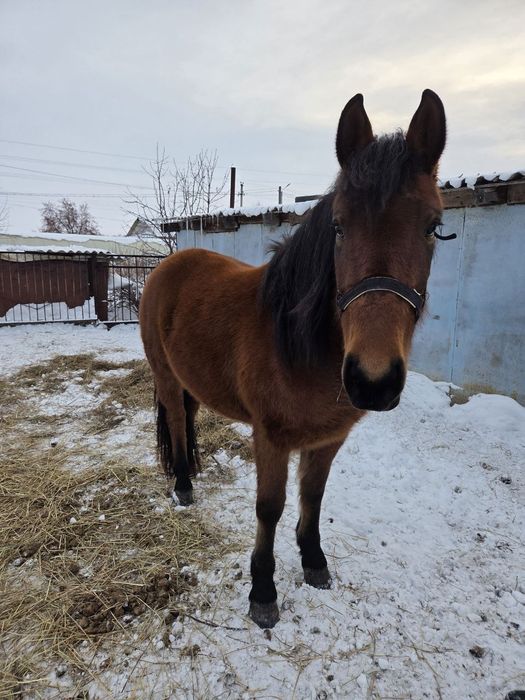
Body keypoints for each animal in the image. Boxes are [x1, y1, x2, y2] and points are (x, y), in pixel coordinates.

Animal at [139, 89, 447, 628]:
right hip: (165, 376)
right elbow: (270, 507)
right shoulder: (272, 438)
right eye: (339, 227)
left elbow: (313, 496)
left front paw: (314, 561)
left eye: (433, 227)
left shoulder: (328, 439)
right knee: (175, 420)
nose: (372, 380)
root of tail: (168, 264)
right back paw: (182, 484)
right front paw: (263, 591)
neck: (301, 348)